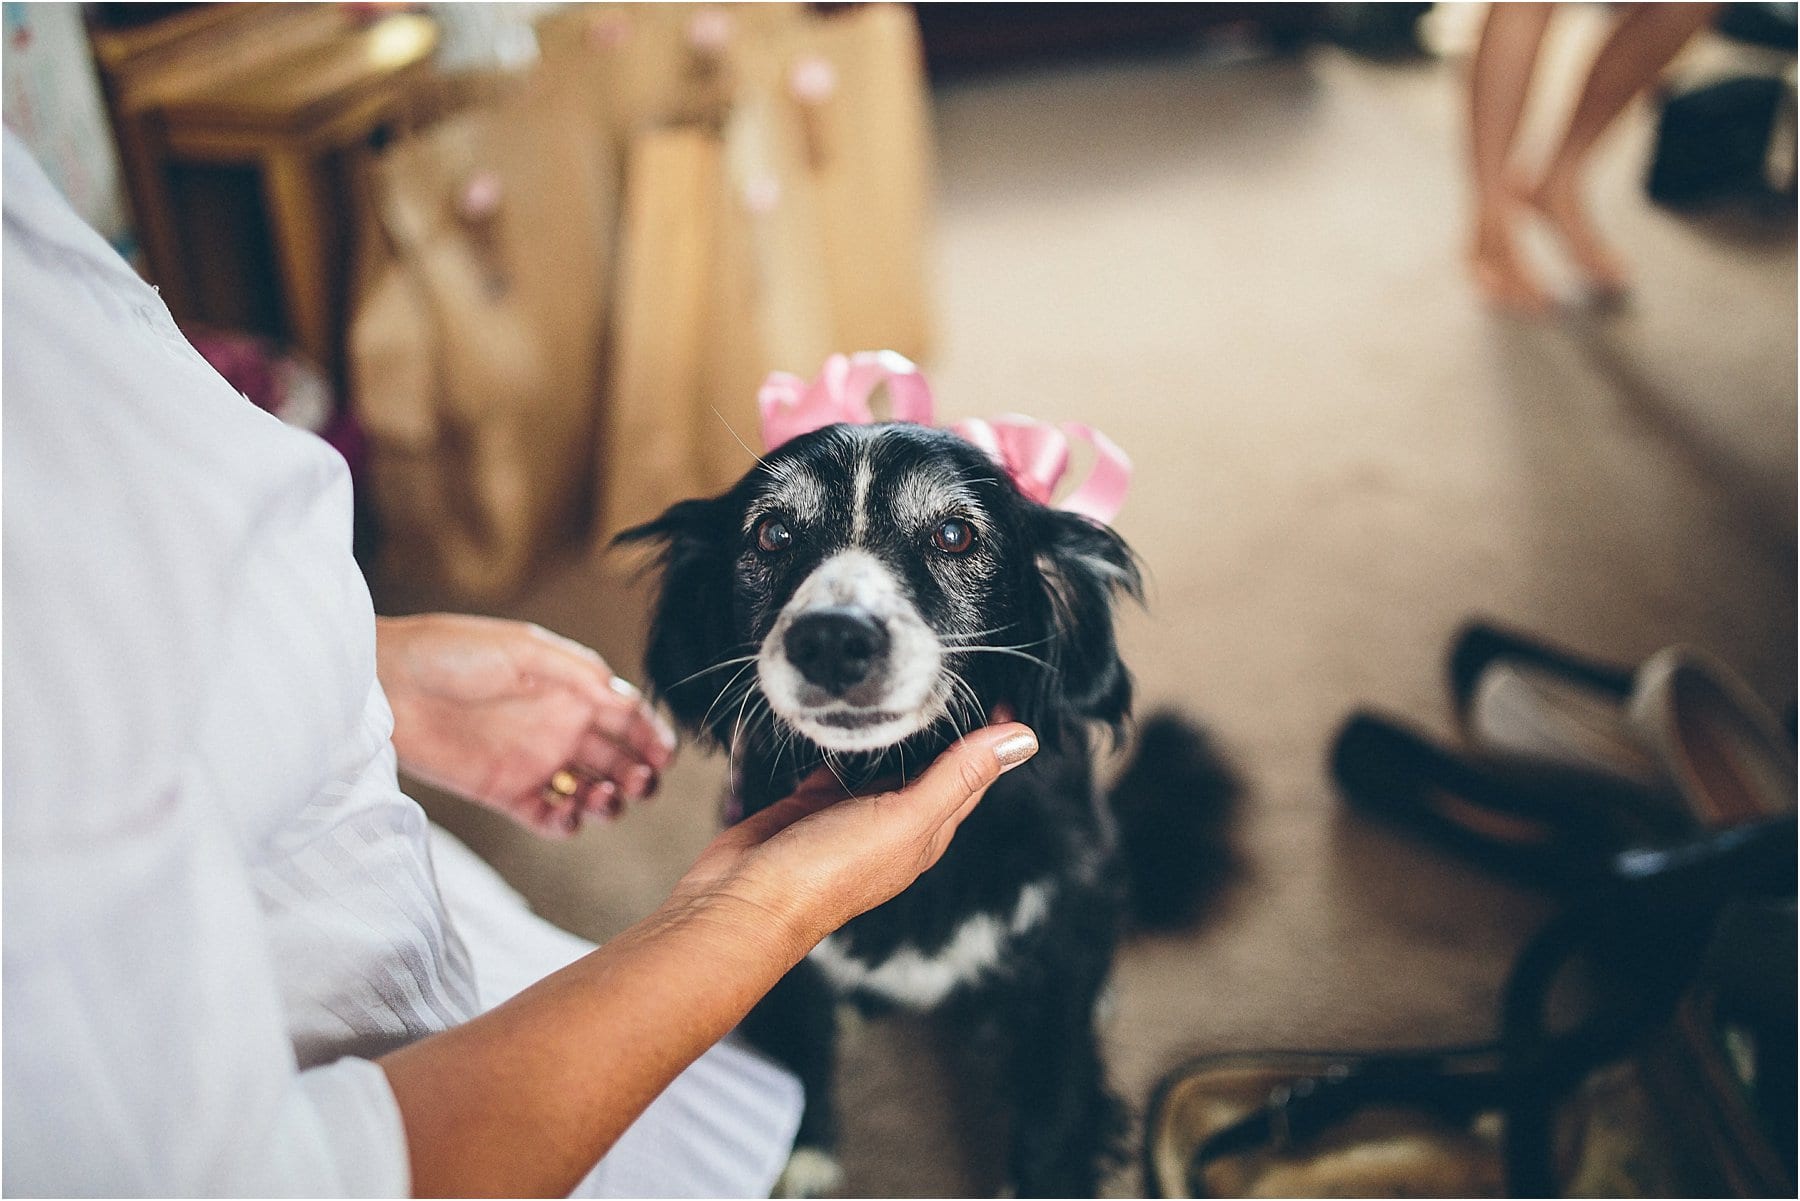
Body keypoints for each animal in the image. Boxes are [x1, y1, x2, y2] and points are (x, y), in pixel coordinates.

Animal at [619, 417, 1224, 1195]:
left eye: (954, 535)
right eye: (774, 534)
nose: (832, 638)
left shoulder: (1061, 950)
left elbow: (1056, 1094)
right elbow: (798, 1040)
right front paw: (801, 1149)